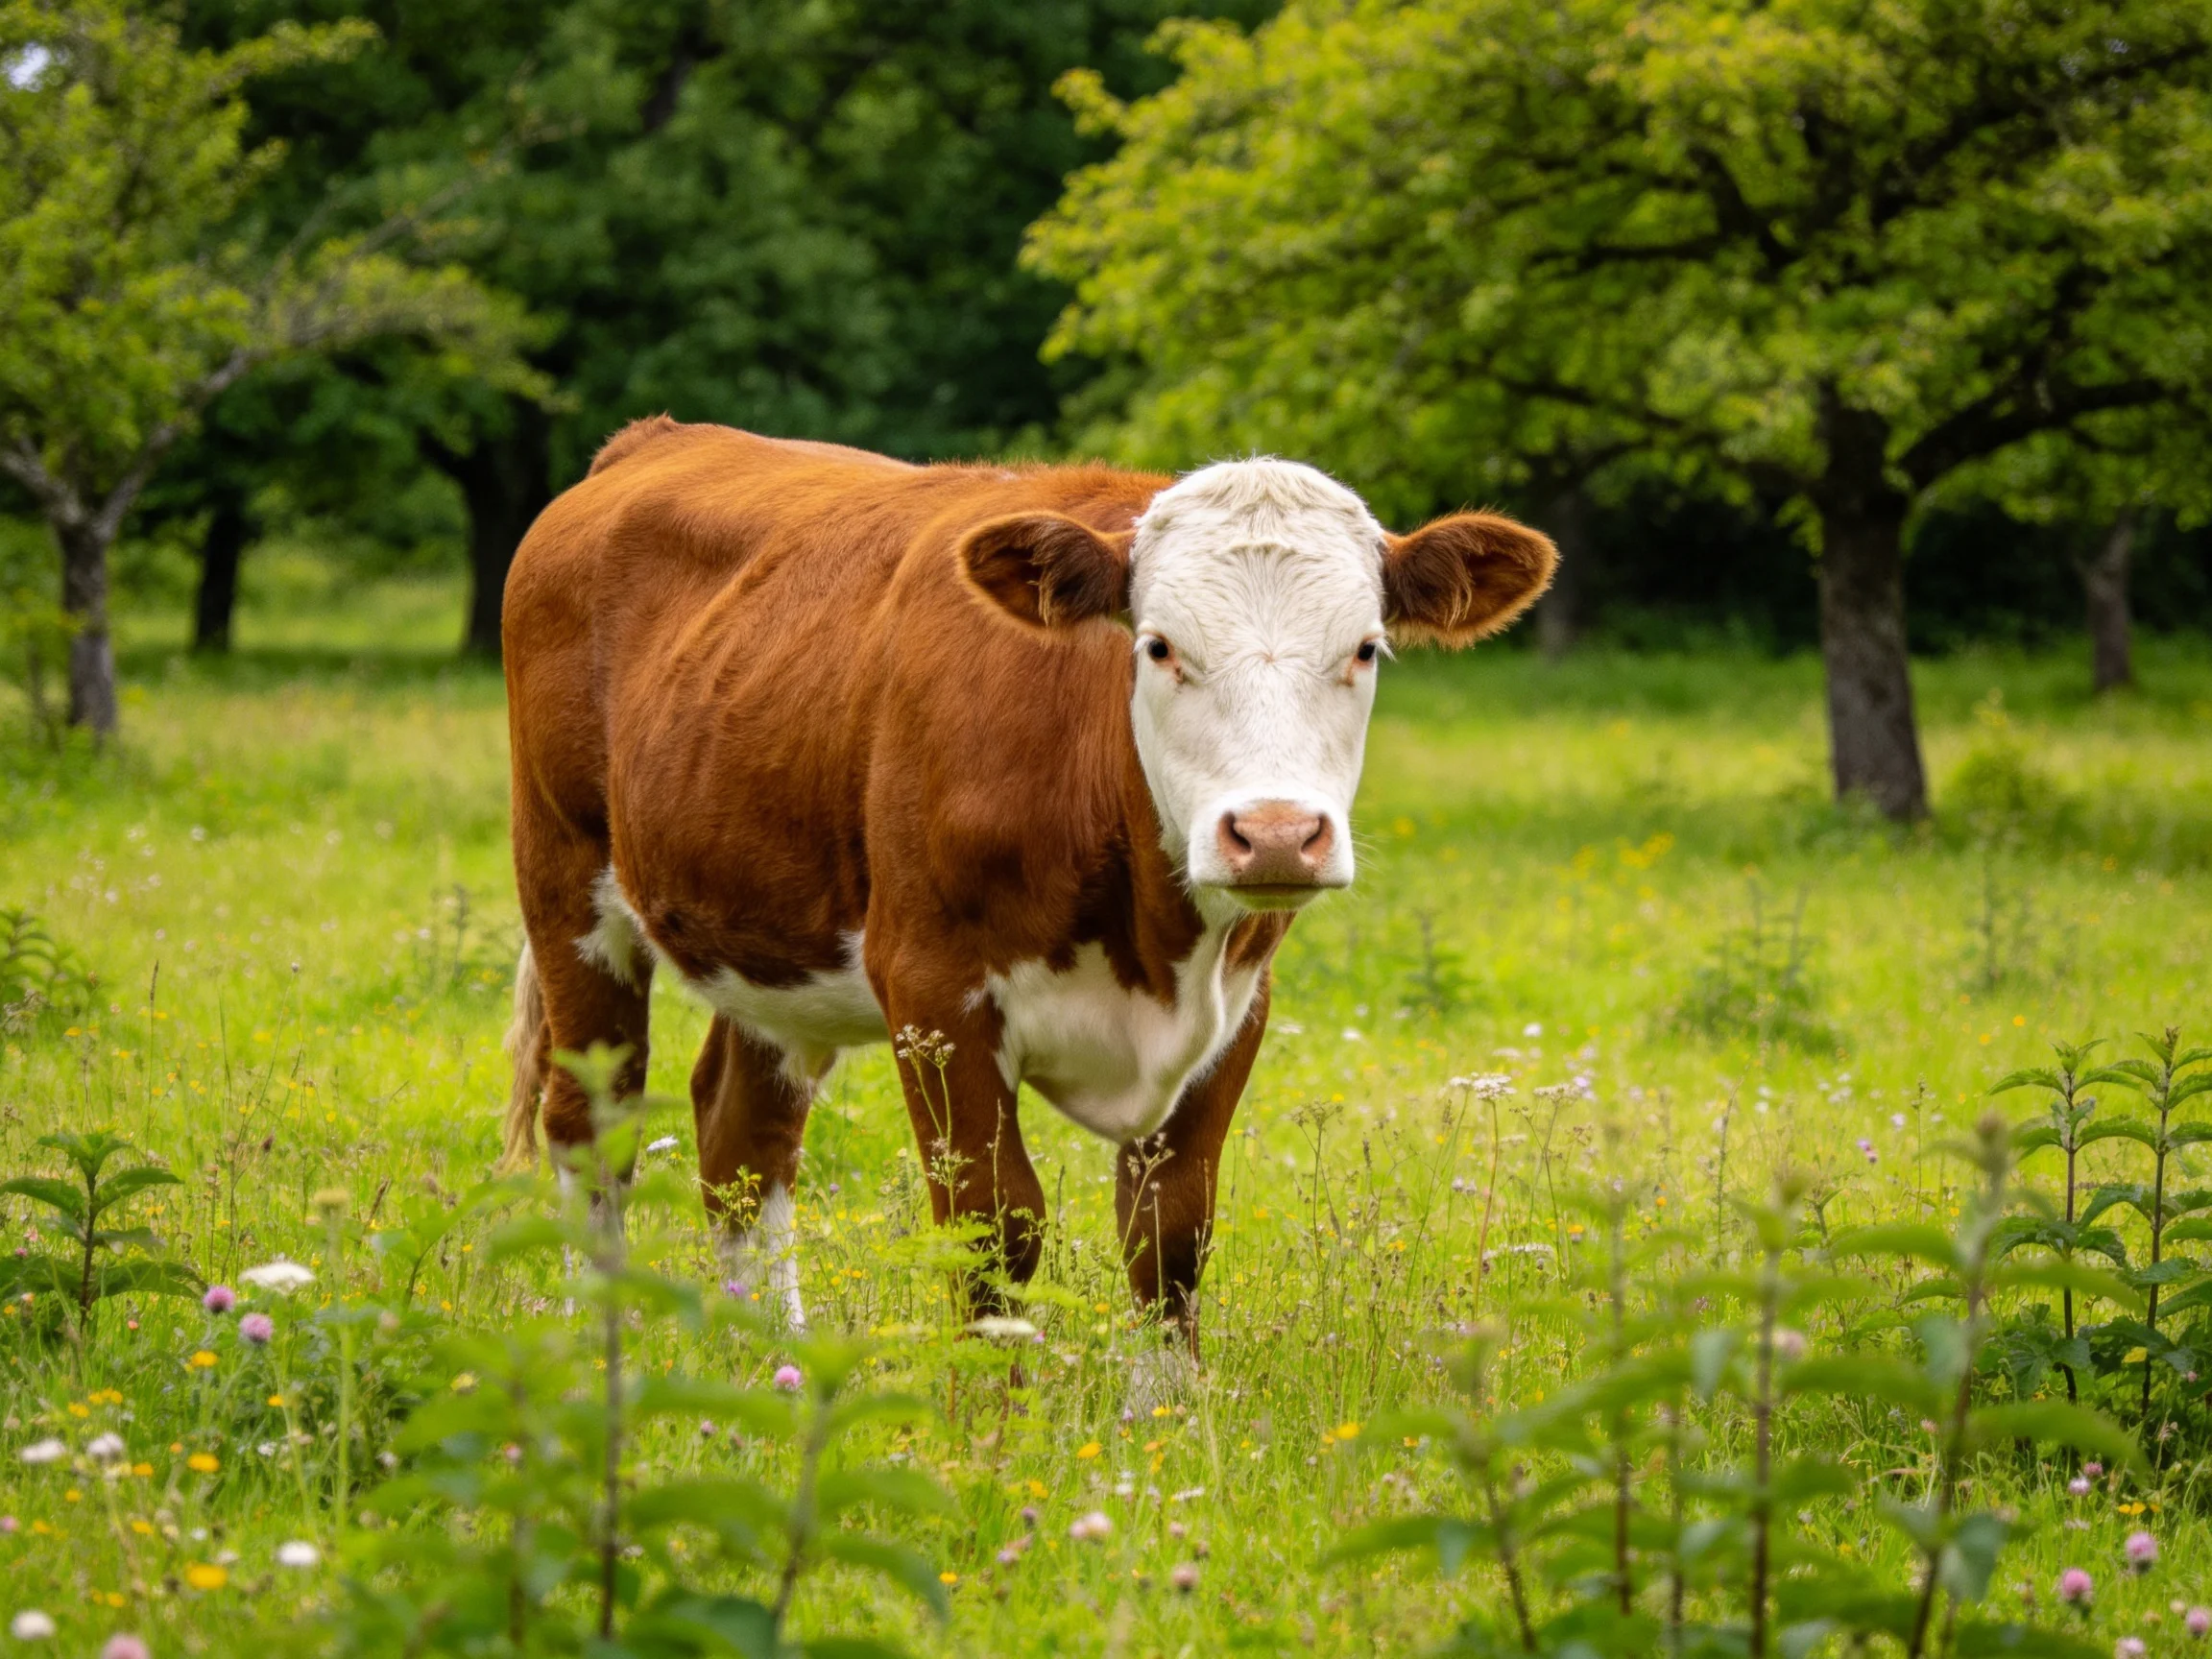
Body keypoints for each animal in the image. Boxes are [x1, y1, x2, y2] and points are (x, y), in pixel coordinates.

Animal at [499, 418, 1553, 1356]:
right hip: (565, 883)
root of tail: (654, 438)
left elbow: (1168, 1232)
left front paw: (1165, 1421)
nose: (1277, 835)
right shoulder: (932, 987)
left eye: (1366, 648)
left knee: (742, 1139)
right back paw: (598, 1362)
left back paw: (771, 1361)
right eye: (1159, 646)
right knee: (590, 1124)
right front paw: (985, 1430)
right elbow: (993, 1228)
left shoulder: (1237, 1003)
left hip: (767, 937)